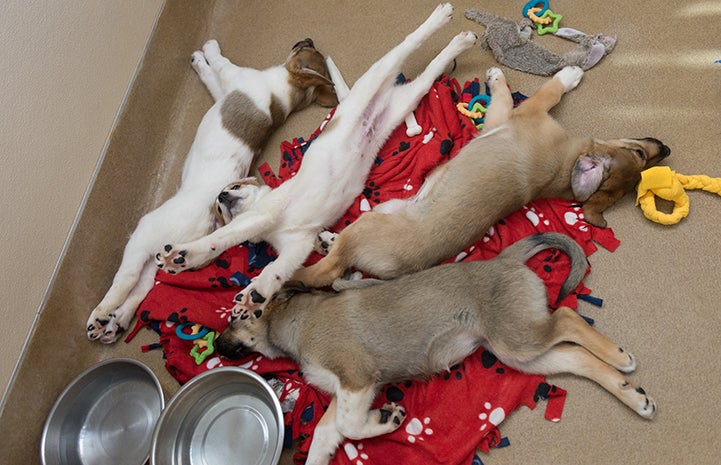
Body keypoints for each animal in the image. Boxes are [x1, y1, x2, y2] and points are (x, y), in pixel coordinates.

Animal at [85, 39, 338, 340]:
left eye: (304, 51)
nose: (307, 39)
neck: (284, 93)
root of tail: (208, 222)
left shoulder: (233, 77)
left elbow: (218, 65)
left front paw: (207, 51)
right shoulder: (222, 91)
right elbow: (211, 78)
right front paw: (200, 60)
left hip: (143, 237)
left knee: (127, 280)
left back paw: (101, 316)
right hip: (157, 253)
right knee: (143, 287)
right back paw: (117, 321)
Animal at [155, 4, 476, 320]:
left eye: (232, 187)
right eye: (219, 207)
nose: (222, 196)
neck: (268, 227)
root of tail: (378, 101)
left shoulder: (261, 215)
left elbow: (221, 238)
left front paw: (184, 255)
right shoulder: (297, 245)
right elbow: (276, 270)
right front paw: (257, 293)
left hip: (374, 77)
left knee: (406, 44)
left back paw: (441, 17)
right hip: (406, 101)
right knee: (429, 72)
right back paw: (460, 42)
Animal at [217, 232, 656, 464]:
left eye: (235, 316)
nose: (217, 347)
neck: (295, 324)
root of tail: (503, 259)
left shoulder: (358, 379)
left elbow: (350, 425)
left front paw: (389, 418)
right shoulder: (342, 394)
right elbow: (327, 437)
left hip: (518, 337)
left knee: (567, 317)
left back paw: (620, 358)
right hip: (517, 350)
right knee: (576, 357)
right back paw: (635, 396)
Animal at [292, 65, 668, 286]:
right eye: (641, 157)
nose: (664, 148)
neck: (565, 168)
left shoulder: (515, 113)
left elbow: (547, 90)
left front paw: (567, 74)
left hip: (367, 227)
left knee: (327, 269)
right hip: (388, 208)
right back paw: (326, 239)